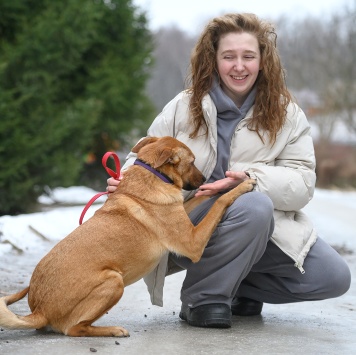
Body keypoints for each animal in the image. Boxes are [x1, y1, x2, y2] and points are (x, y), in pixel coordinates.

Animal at [0, 137, 256, 340]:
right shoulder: (192, 242)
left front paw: (224, 185)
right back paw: (111, 330)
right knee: (74, 329)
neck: (152, 172)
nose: (204, 179)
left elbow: (207, 197)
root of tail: (39, 310)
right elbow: (220, 203)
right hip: (114, 280)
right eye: (192, 161)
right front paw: (240, 185)